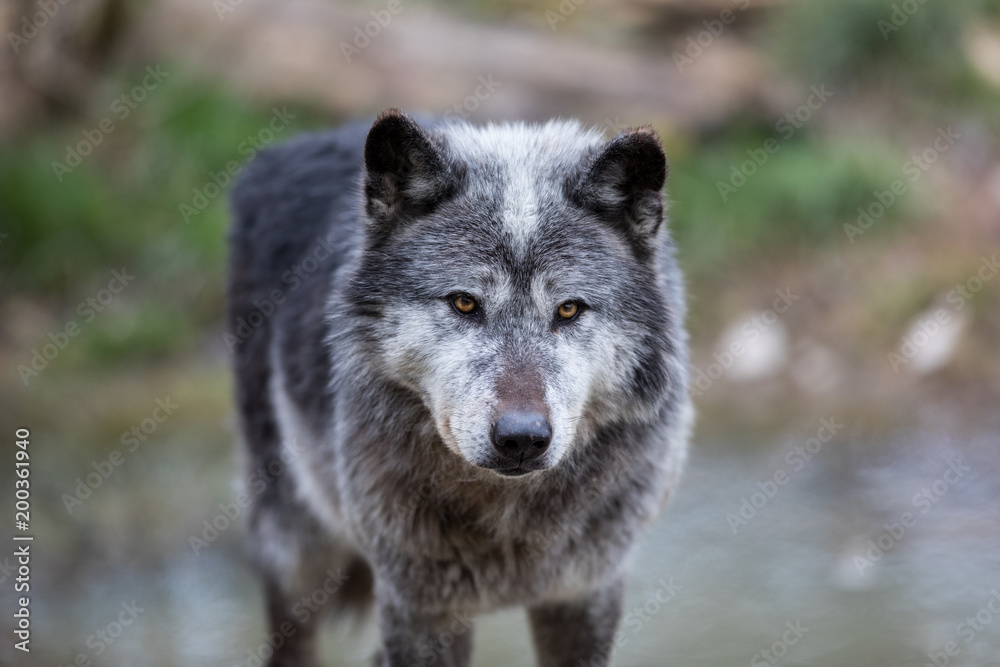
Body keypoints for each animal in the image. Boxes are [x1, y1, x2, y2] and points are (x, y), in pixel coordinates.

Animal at [227, 109, 692, 667]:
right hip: (295, 543)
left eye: (568, 309)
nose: (521, 438)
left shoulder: (585, 594)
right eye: (464, 303)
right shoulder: (420, 609)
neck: (507, 519)